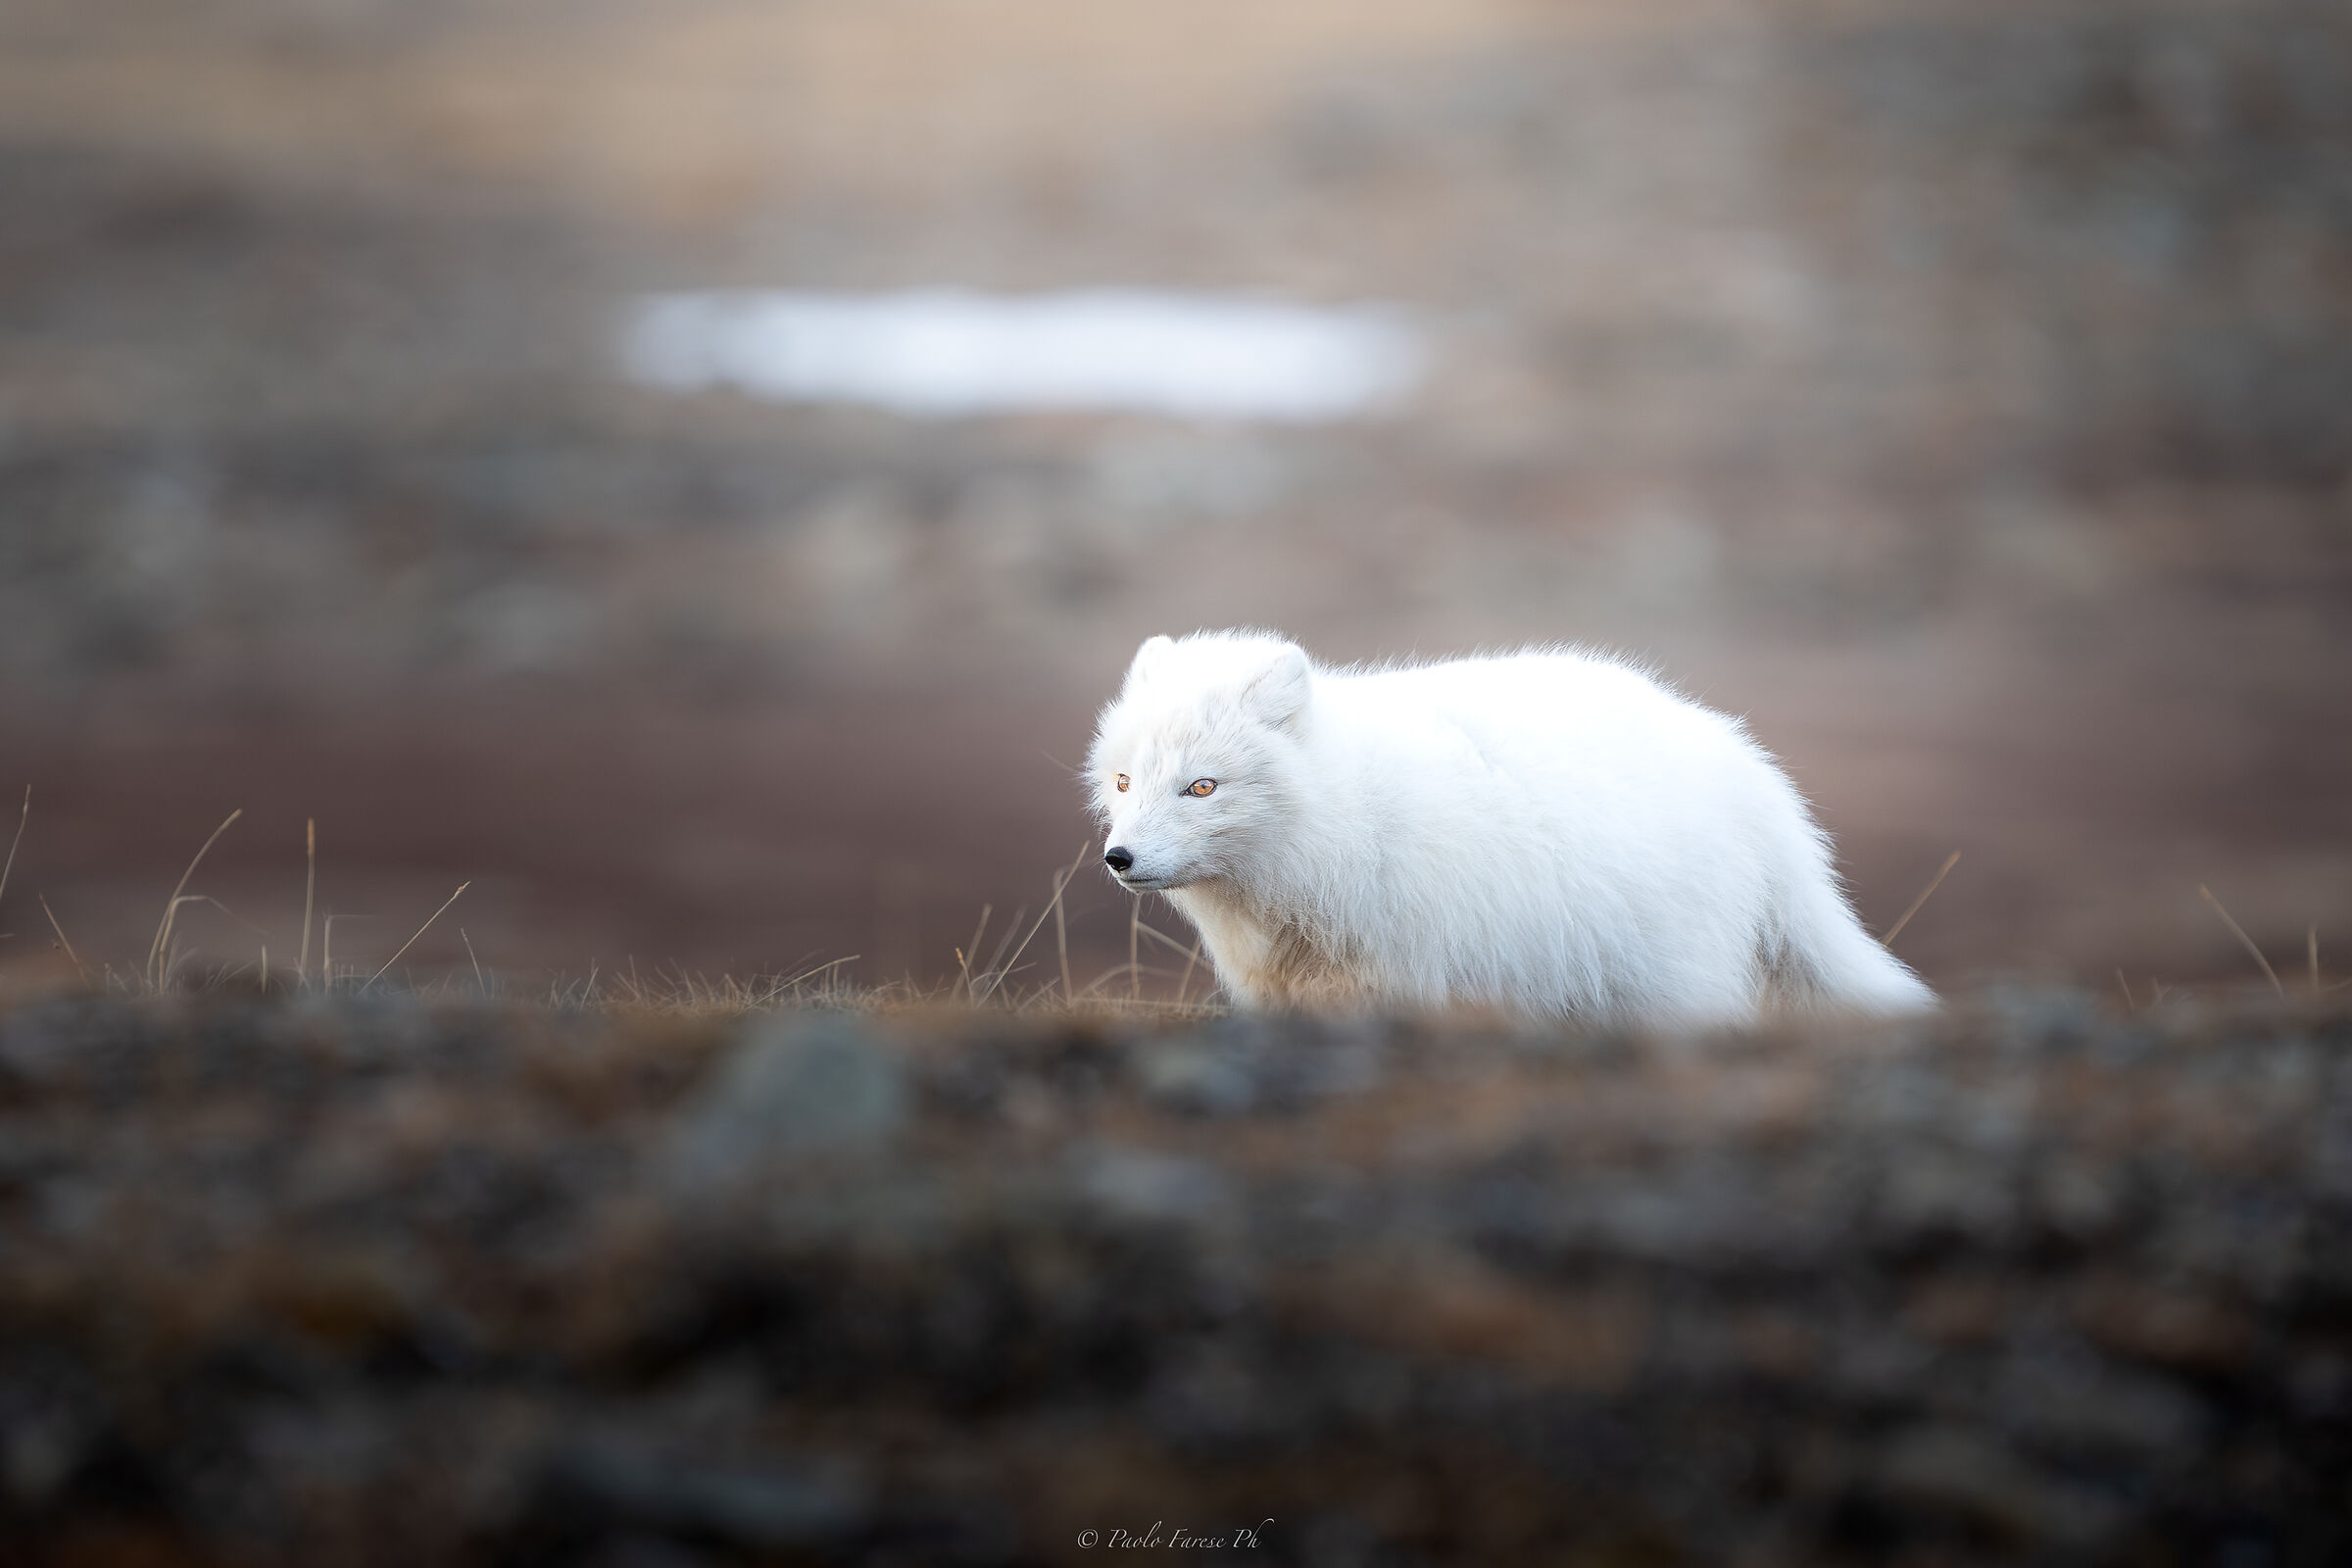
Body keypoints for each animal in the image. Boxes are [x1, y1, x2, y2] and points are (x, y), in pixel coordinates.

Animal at [1085, 629, 1934, 1028]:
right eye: (1125, 782)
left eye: (1201, 787)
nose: (1119, 858)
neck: (1343, 819)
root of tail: (1751, 771)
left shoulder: (1404, 978)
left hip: (1669, 980)